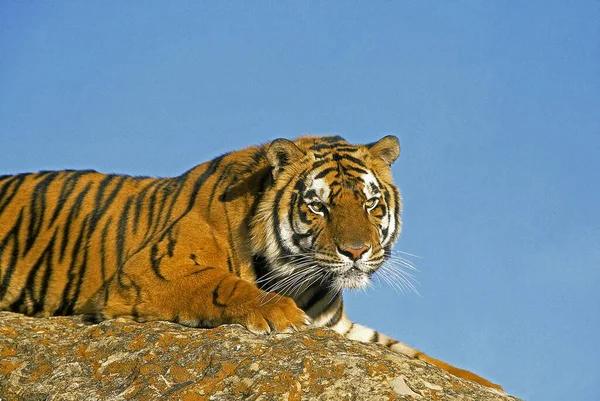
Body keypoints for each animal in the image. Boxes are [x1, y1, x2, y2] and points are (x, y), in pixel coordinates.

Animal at [0, 134, 502, 388]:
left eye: (370, 203)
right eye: (319, 206)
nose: (357, 252)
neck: (303, 277)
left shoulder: (337, 325)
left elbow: (405, 350)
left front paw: (483, 383)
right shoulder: (152, 271)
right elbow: (223, 284)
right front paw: (278, 313)